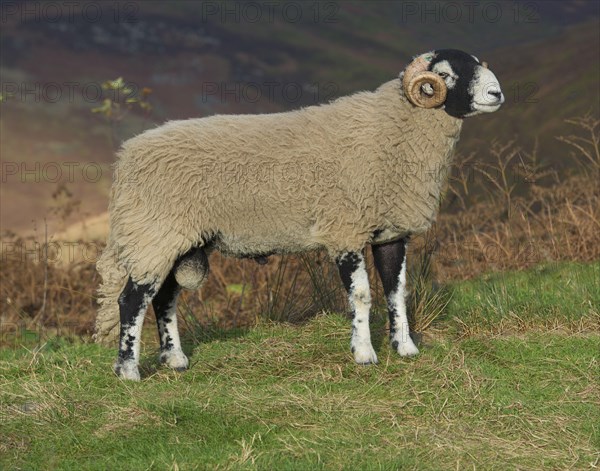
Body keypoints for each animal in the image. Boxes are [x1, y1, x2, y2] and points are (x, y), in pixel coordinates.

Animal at [96, 48, 504, 380]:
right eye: (446, 74)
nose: (497, 94)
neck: (392, 129)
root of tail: (126, 156)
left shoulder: (391, 233)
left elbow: (397, 291)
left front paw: (405, 348)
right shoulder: (344, 230)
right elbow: (361, 295)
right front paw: (364, 353)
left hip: (176, 242)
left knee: (163, 298)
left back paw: (175, 359)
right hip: (153, 233)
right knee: (131, 301)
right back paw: (129, 371)